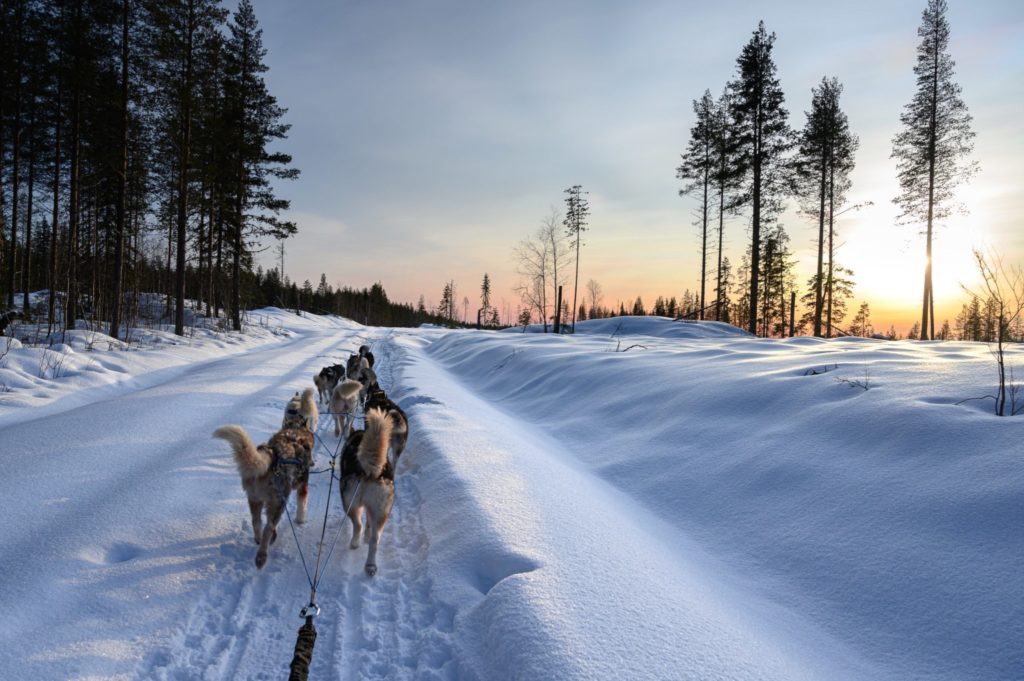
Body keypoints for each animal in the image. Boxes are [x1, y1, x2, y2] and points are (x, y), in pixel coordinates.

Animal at [214, 426, 313, 569]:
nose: (312, 463)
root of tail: (273, 453)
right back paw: (262, 555)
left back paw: (259, 539)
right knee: (269, 527)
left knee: (256, 521)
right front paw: (300, 520)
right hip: (279, 501)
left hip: (255, 498)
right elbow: (302, 505)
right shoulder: (302, 486)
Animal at [339, 409, 395, 573]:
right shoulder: (372, 509)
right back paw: (370, 565)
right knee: (375, 540)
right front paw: (367, 535)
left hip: (350, 504)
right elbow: (369, 523)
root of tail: (369, 471)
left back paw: (355, 543)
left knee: (358, 525)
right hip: (381, 510)